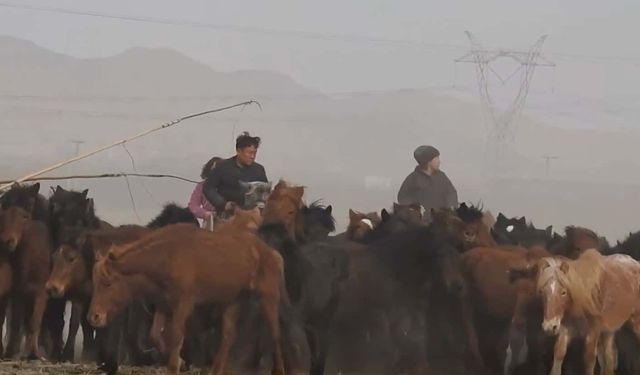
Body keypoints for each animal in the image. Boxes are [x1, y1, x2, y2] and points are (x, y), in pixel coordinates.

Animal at [0, 207, 51, 360]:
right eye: (2, 217)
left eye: (23, 217)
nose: (7, 241)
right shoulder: (18, 294)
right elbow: (16, 324)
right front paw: (11, 352)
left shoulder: (41, 294)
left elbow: (34, 322)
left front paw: (33, 353)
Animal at [86, 223, 286, 375]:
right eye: (94, 282)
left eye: (108, 283)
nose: (94, 317)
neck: (168, 254)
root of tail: (271, 252)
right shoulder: (164, 304)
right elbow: (154, 335)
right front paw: (181, 362)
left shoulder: (184, 304)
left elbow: (176, 337)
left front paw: (176, 365)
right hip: (235, 300)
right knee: (228, 336)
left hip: (269, 297)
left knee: (275, 334)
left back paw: (278, 369)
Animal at [512, 250, 640, 375]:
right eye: (542, 291)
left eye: (563, 292)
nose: (549, 327)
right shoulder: (566, 330)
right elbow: (559, 353)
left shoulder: (593, 331)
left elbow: (589, 360)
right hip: (608, 331)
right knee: (609, 358)